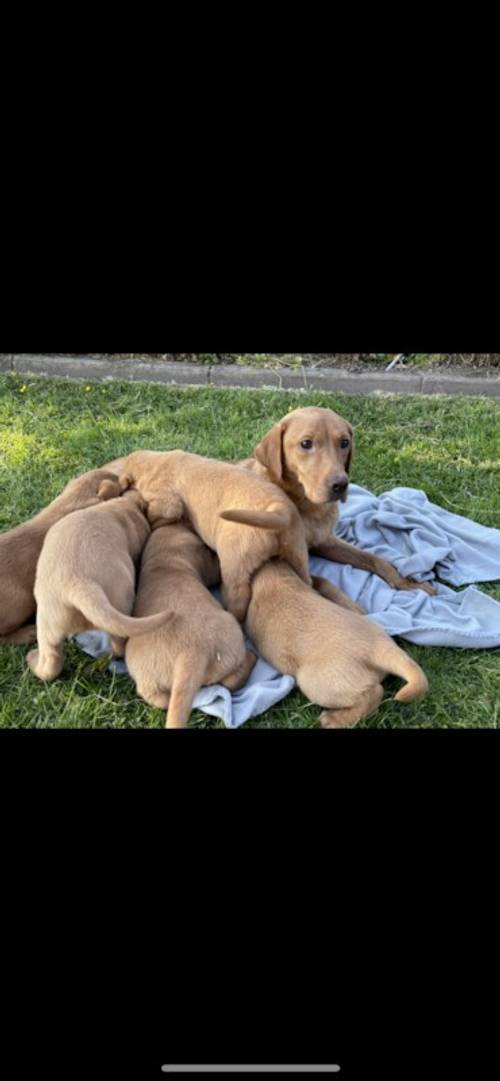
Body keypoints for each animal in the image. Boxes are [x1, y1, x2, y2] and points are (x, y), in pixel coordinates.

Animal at [25, 486, 173, 678]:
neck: (125, 505)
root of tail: (79, 584)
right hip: (120, 601)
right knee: (119, 641)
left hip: (47, 623)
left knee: (49, 663)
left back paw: (33, 660)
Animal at [118, 447, 311, 622]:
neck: (154, 462)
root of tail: (278, 510)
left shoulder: (167, 501)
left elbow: (156, 515)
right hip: (297, 549)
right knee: (307, 579)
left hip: (234, 561)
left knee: (238, 599)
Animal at [125, 521, 258, 726]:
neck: (164, 560)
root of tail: (190, 654)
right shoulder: (204, 563)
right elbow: (214, 569)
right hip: (232, 634)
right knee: (232, 679)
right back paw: (251, 657)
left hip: (145, 676)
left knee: (159, 699)